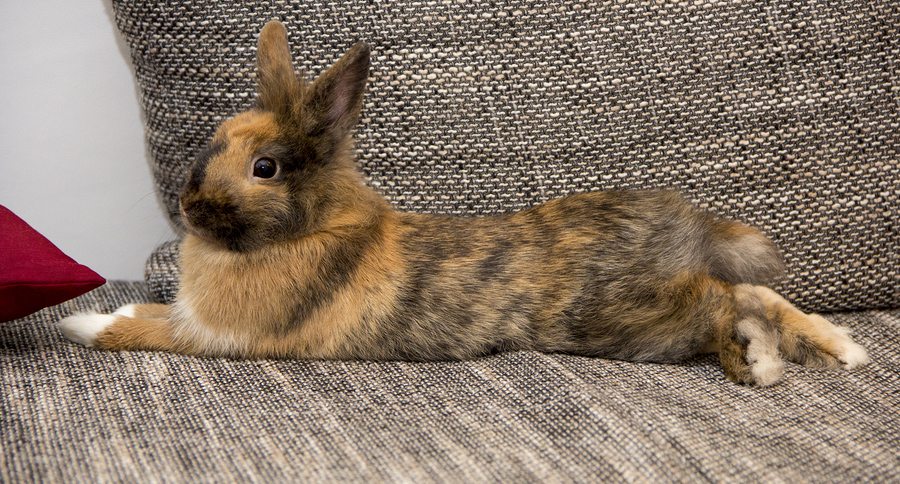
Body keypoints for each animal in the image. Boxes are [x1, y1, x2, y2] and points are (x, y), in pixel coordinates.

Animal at [59, 20, 870, 386]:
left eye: (266, 167)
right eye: (214, 140)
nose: (190, 206)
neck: (308, 231)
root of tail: (691, 223)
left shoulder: (220, 334)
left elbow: (140, 326)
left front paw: (80, 322)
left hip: (623, 317)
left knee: (724, 298)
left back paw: (760, 358)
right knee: (753, 292)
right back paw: (840, 348)